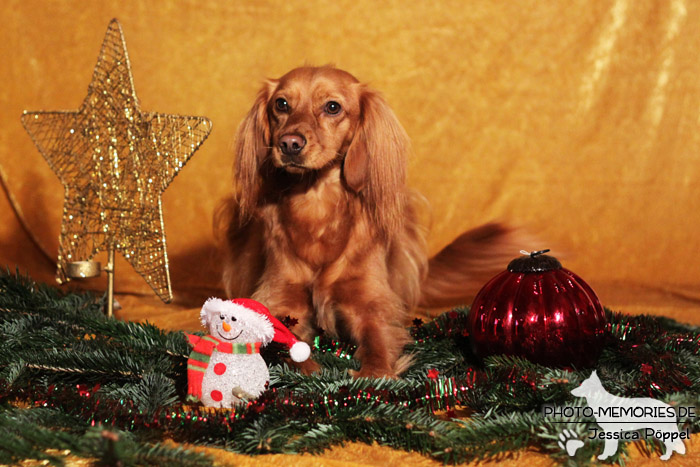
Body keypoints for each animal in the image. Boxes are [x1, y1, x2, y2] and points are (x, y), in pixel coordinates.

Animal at [219, 66, 520, 378]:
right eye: (281, 104)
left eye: (332, 107)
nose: (289, 144)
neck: (317, 206)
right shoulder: (282, 299)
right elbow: (287, 346)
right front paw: (308, 369)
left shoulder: (371, 305)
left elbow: (377, 342)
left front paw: (372, 375)